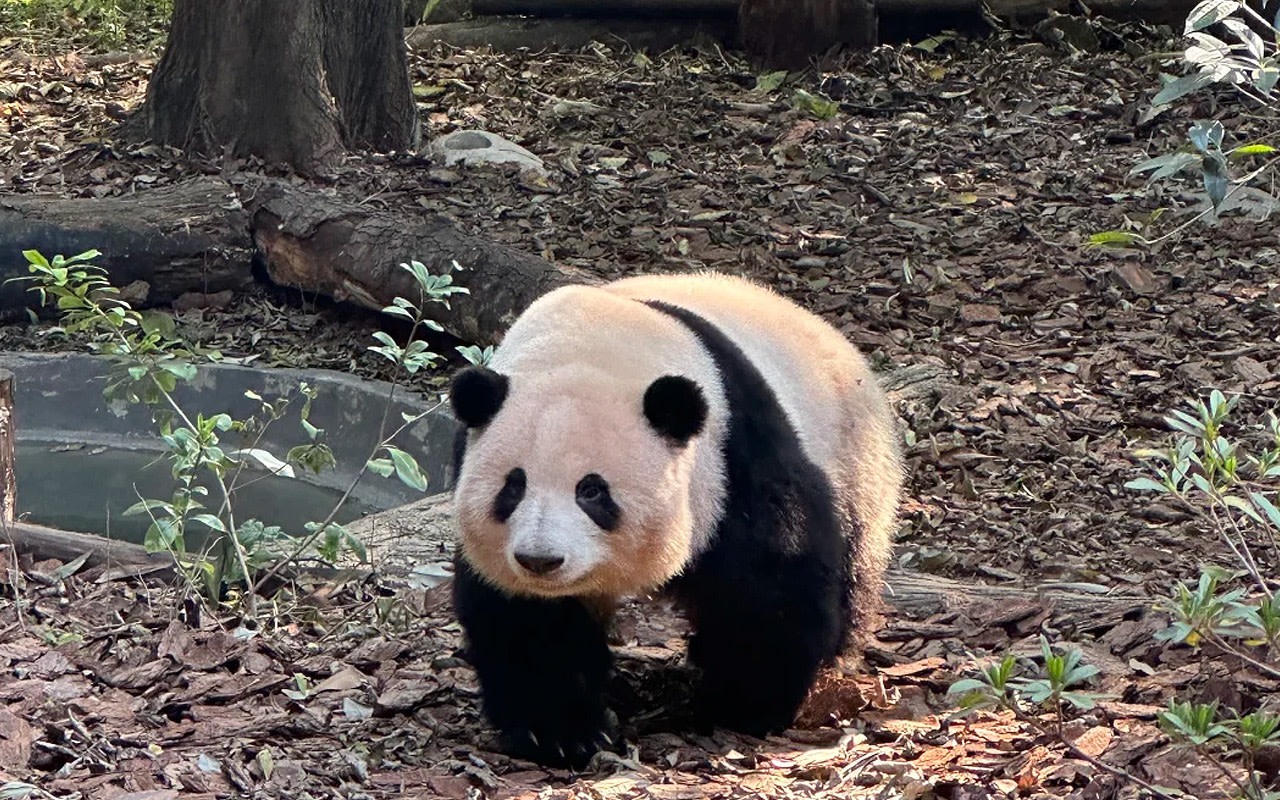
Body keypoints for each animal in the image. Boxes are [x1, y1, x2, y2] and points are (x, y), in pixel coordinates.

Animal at [448, 272, 902, 769]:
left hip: (855, 461)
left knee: (854, 567)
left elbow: (770, 576)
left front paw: (739, 703)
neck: (591, 343)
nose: (540, 560)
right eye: (512, 487)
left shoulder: (731, 451)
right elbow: (527, 619)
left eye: (592, 491)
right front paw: (559, 732)